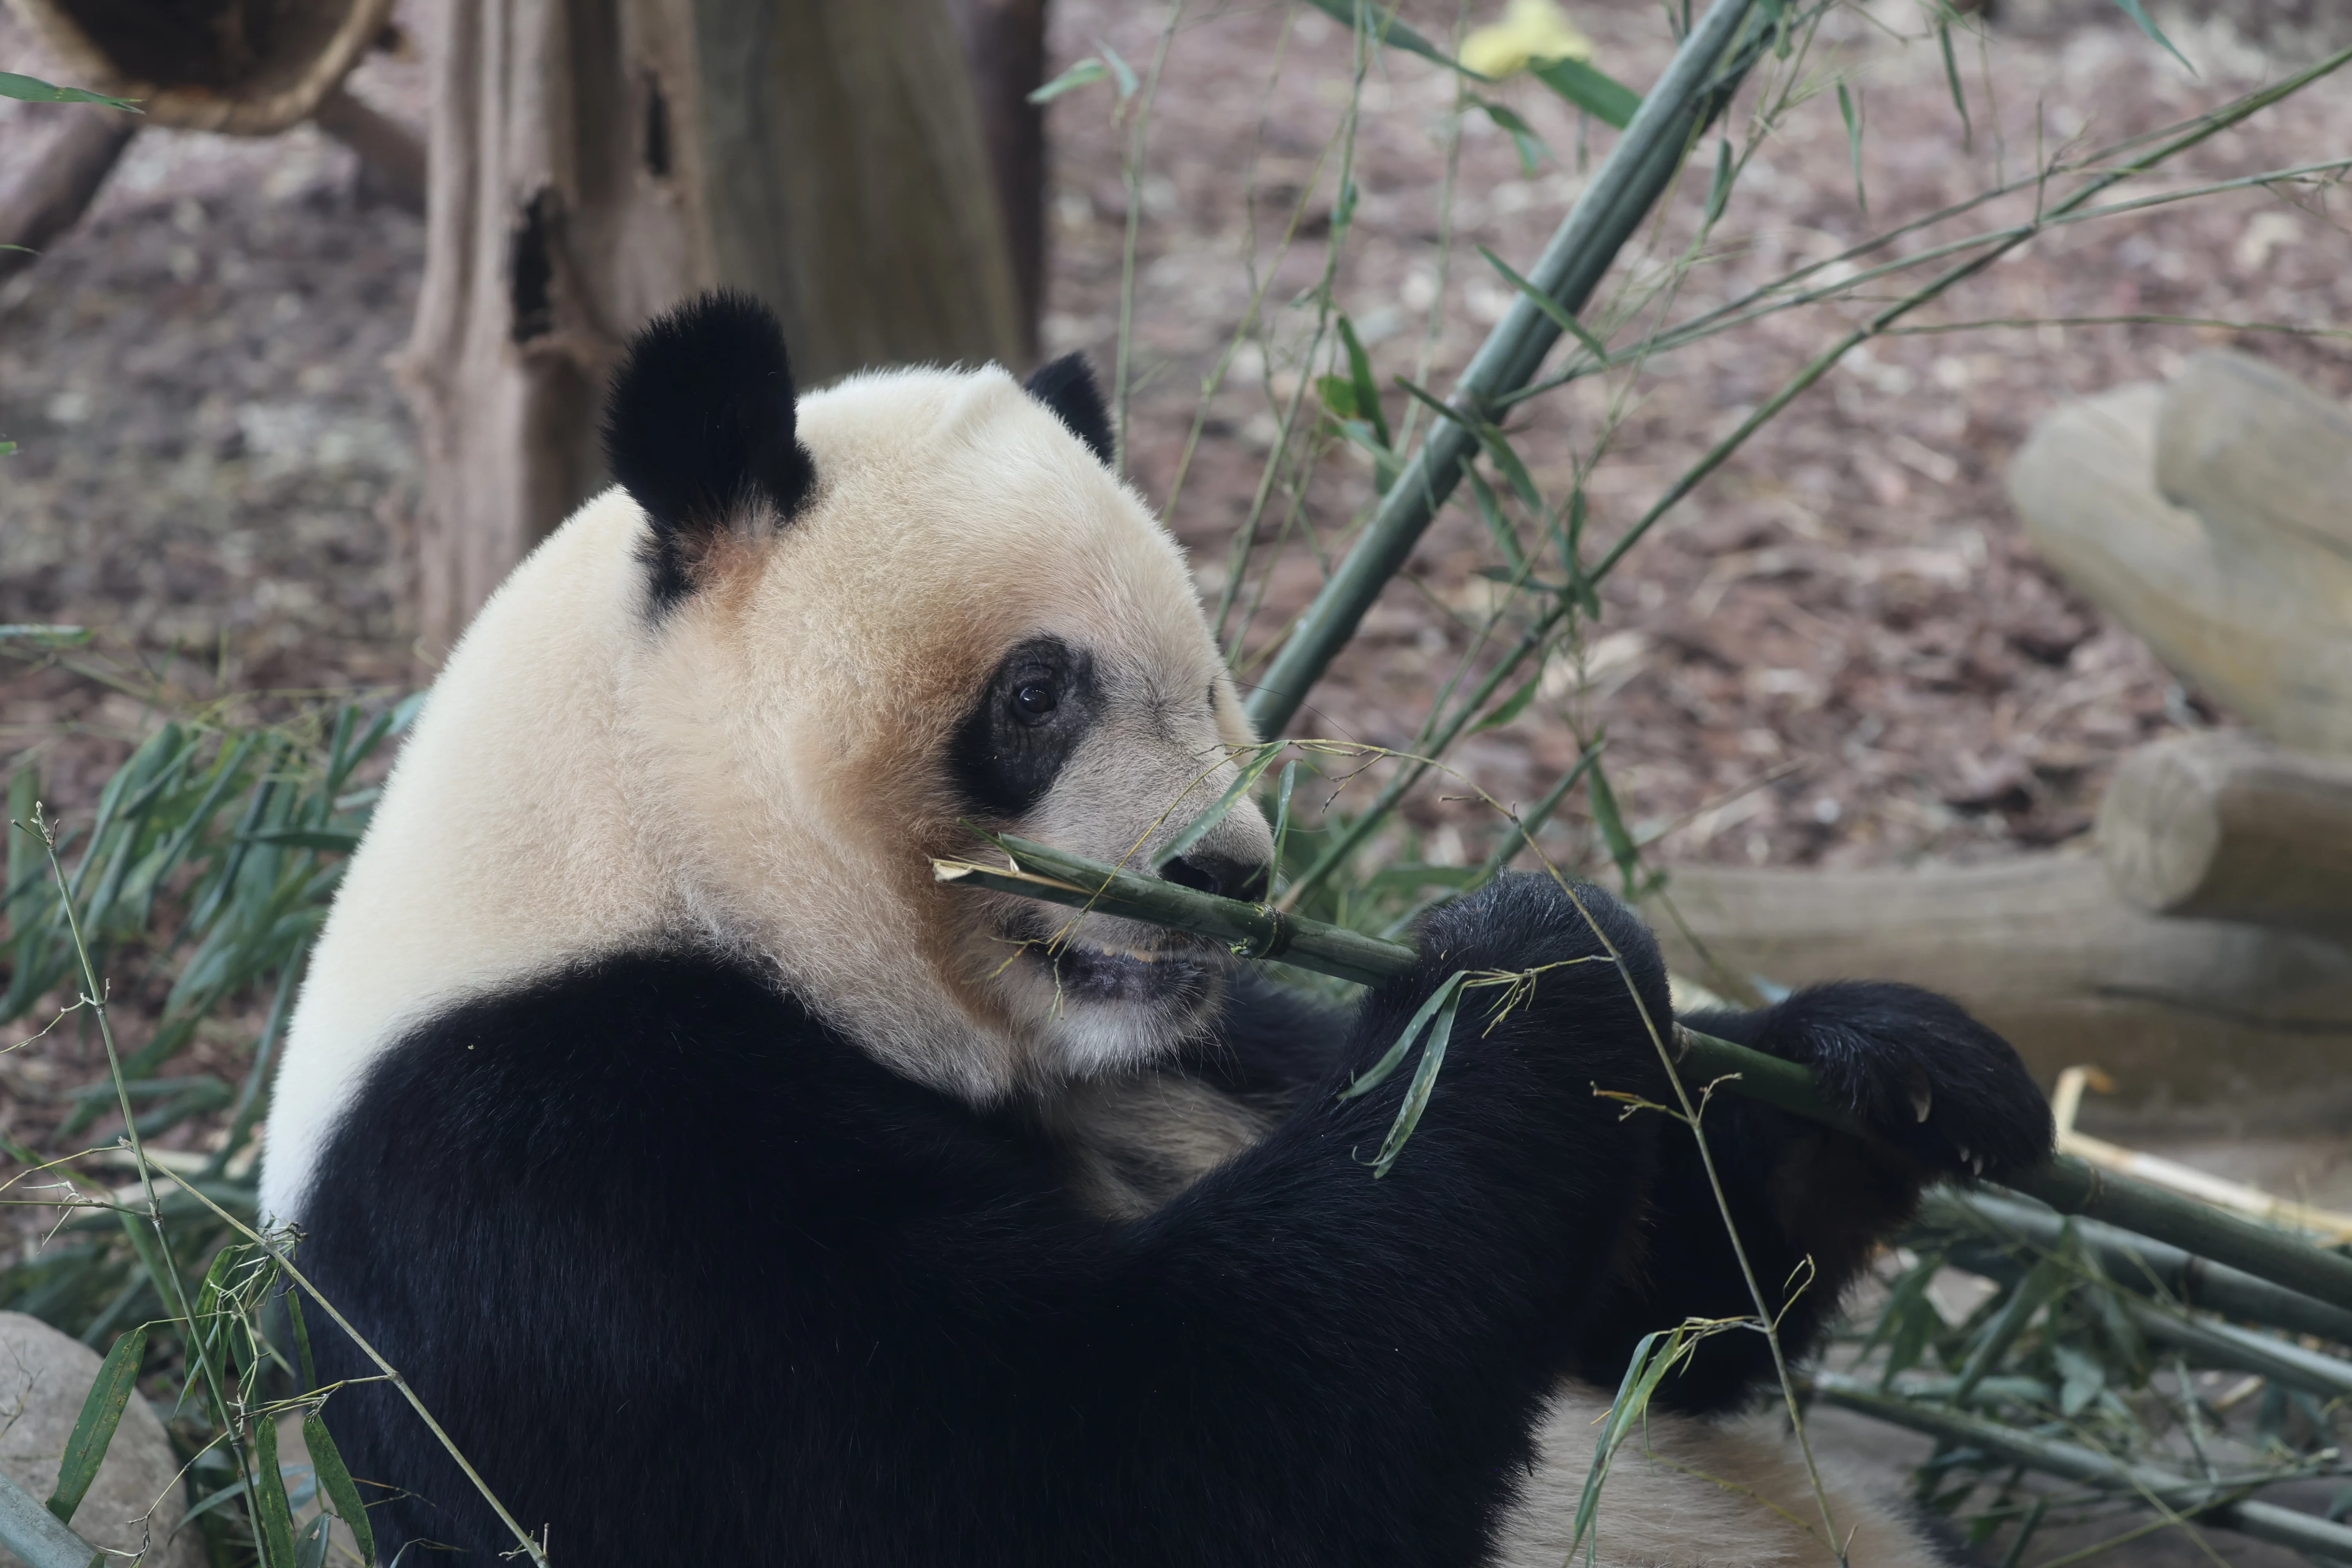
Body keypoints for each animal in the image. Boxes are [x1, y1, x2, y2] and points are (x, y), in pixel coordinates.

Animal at [259, 291, 2053, 1567]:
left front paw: (1893, 1066)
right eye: (1036, 692)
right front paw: (1535, 960)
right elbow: (1094, 1464)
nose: (1227, 874)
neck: (660, 857)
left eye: (1208, 686)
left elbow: (1660, 1302)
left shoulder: (1211, 1043)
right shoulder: (561, 1166)